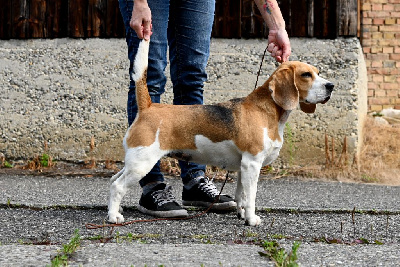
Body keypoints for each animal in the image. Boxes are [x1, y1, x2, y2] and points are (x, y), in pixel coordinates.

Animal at [108, 39, 332, 226]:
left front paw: (242, 214)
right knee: (118, 186)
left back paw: (116, 210)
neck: (268, 109)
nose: (332, 86)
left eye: (317, 72)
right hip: (143, 163)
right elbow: (251, 196)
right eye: (306, 75)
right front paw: (252, 219)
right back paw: (113, 217)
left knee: (113, 181)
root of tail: (148, 106)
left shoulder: (243, 167)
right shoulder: (252, 163)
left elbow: (241, 195)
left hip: (134, 161)